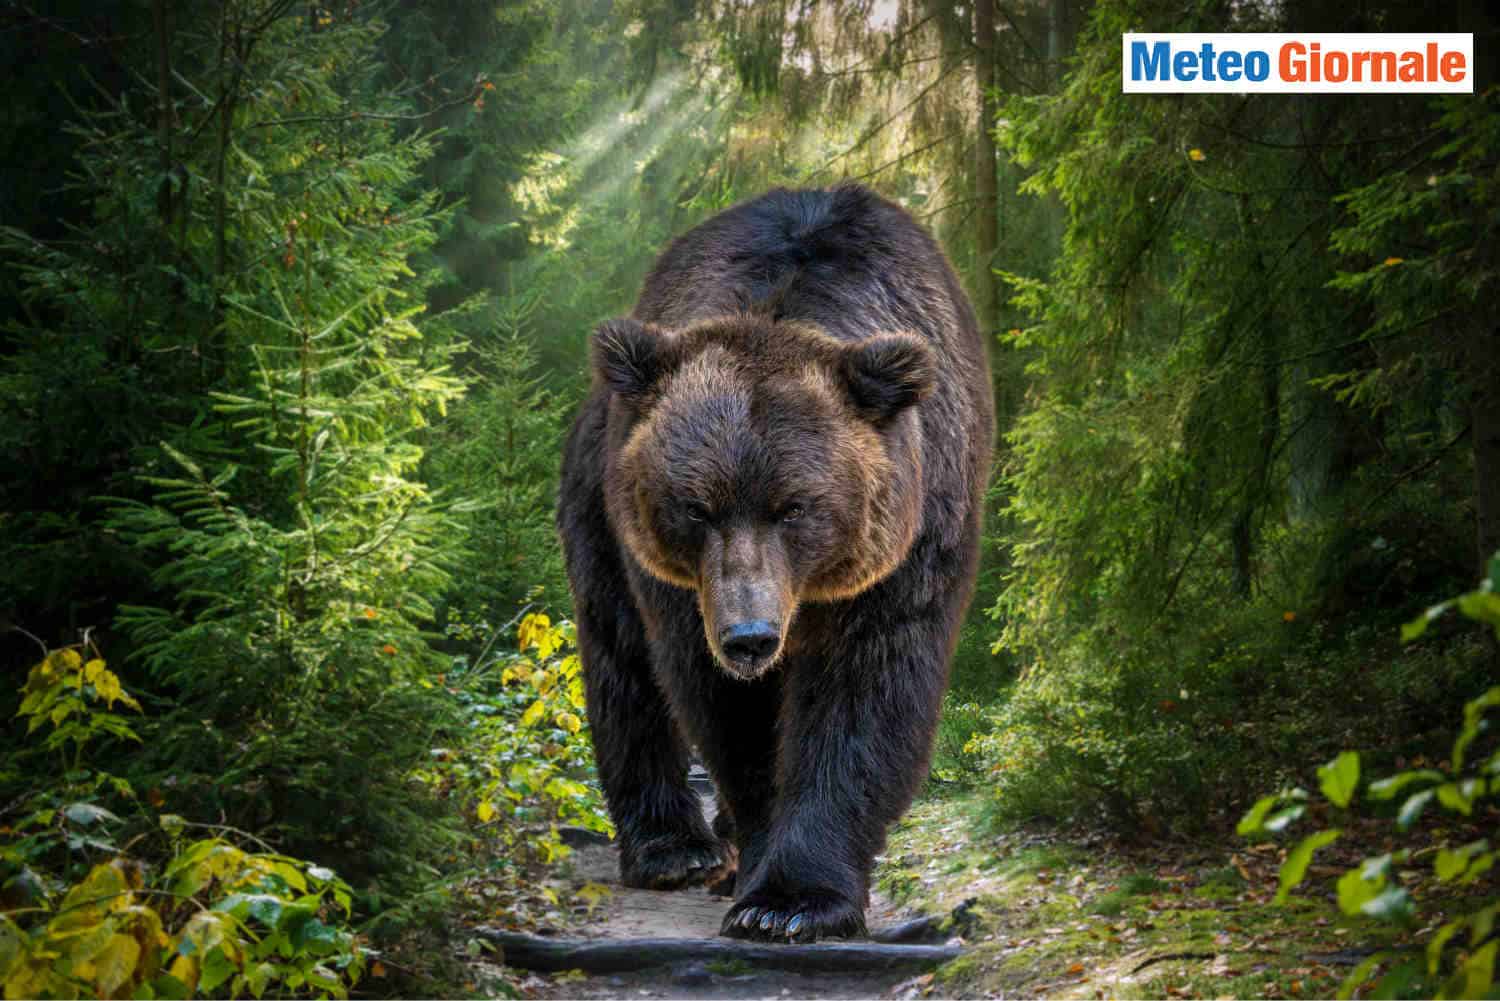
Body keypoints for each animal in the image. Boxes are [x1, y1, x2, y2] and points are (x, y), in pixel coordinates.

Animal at [557, 183, 993, 942]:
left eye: (795, 506)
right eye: (695, 507)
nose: (750, 637)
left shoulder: (908, 543)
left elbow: (864, 691)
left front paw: (793, 901)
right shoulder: (684, 584)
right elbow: (726, 707)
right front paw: (762, 874)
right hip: (598, 506)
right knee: (623, 660)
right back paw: (675, 849)